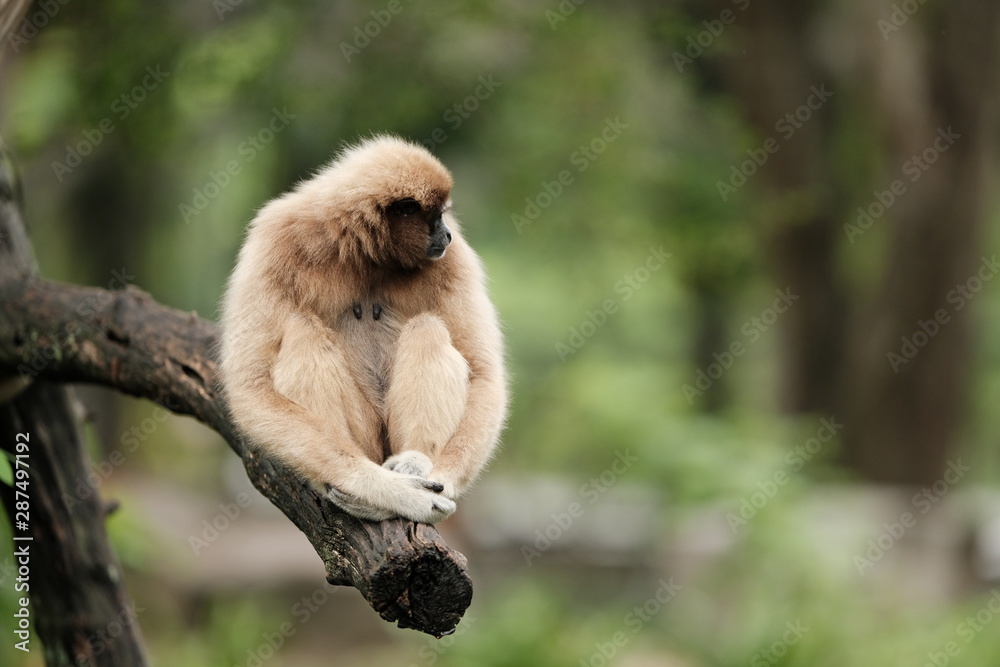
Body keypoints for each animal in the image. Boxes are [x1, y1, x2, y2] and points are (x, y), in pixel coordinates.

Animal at [219, 135, 507, 524]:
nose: (446, 233)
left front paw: (434, 480)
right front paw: (385, 491)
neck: (365, 254)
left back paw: (415, 460)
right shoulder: (273, 244)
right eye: (434, 218)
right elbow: (251, 387)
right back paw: (361, 498)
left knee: (428, 329)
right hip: (365, 439)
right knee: (302, 332)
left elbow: (484, 374)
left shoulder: (455, 259)